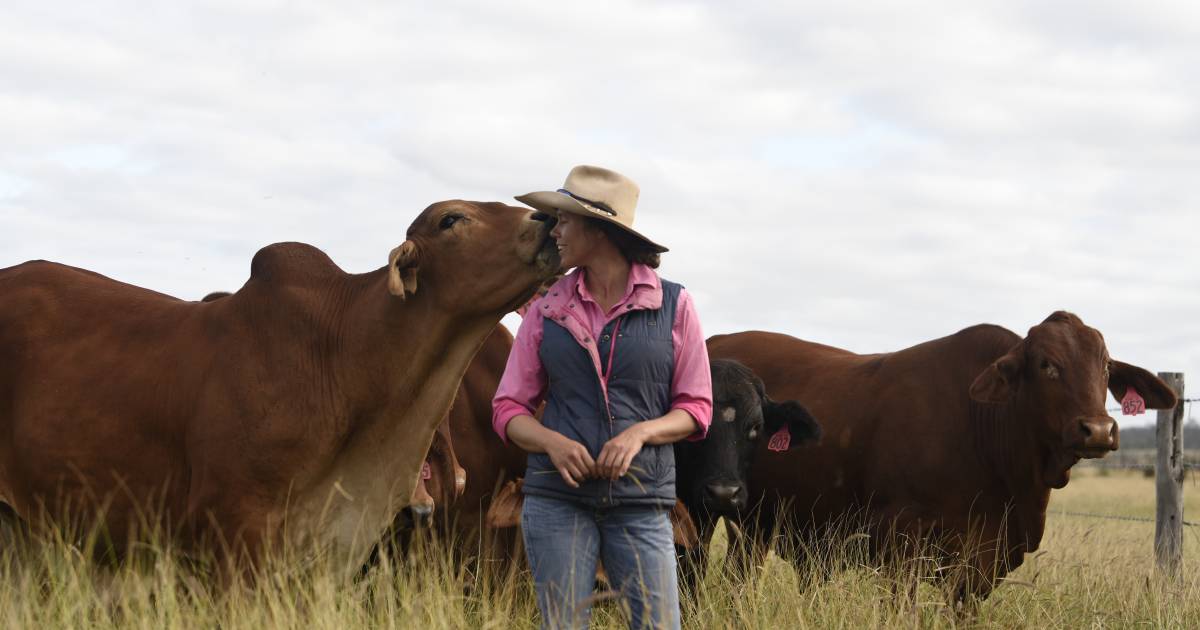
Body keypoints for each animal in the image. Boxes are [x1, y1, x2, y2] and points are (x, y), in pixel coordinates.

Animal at [705, 312, 1176, 602]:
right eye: (1047, 365)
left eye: (1107, 366)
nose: (1097, 429)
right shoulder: (900, 544)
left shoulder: (982, 563)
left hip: (755, 527)